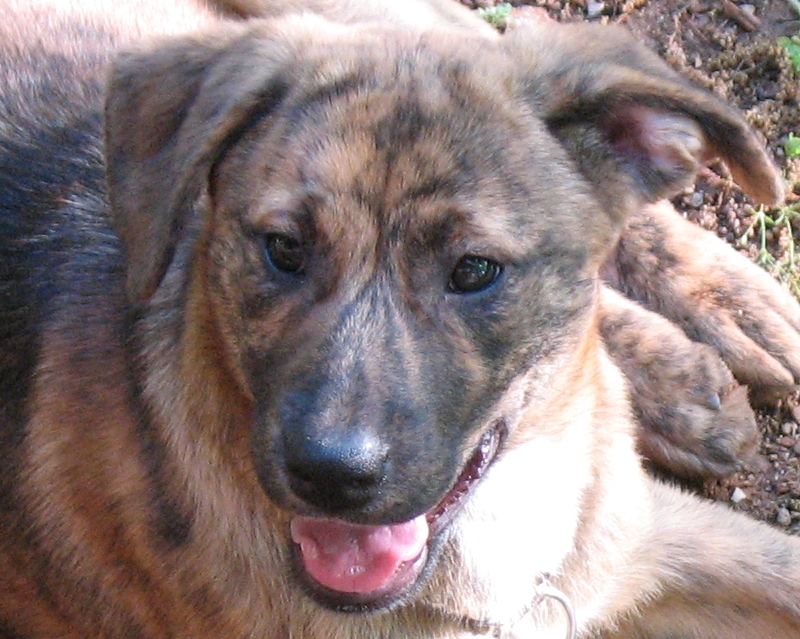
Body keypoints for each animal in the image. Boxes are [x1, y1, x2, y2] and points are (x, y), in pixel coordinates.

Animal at [1, 1, 800, 639]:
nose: (330, 475)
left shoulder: (658, 535)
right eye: (283, 249)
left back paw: (730, 324)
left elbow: (783, 567)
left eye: (475, 270)